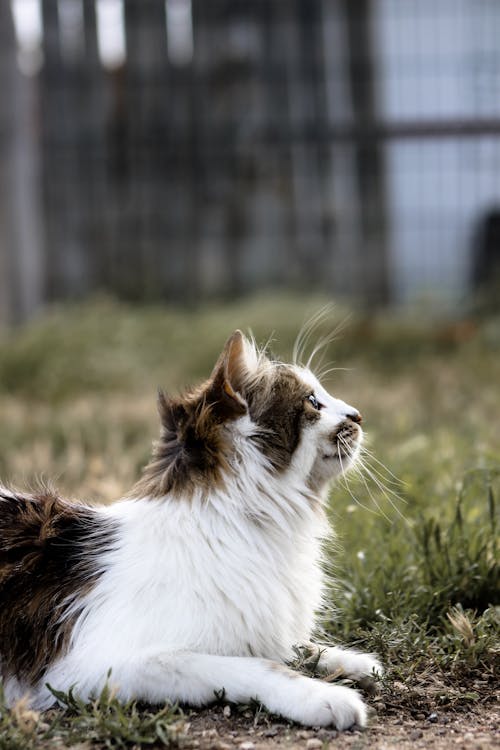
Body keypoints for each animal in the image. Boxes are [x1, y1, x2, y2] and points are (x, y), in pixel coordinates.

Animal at [0, 328, 382, 728]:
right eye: (313, 401)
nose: (358, 415)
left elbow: (298, 647)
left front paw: (354, 661)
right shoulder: (95, 667)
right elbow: (256, 666)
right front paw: (324, 696)